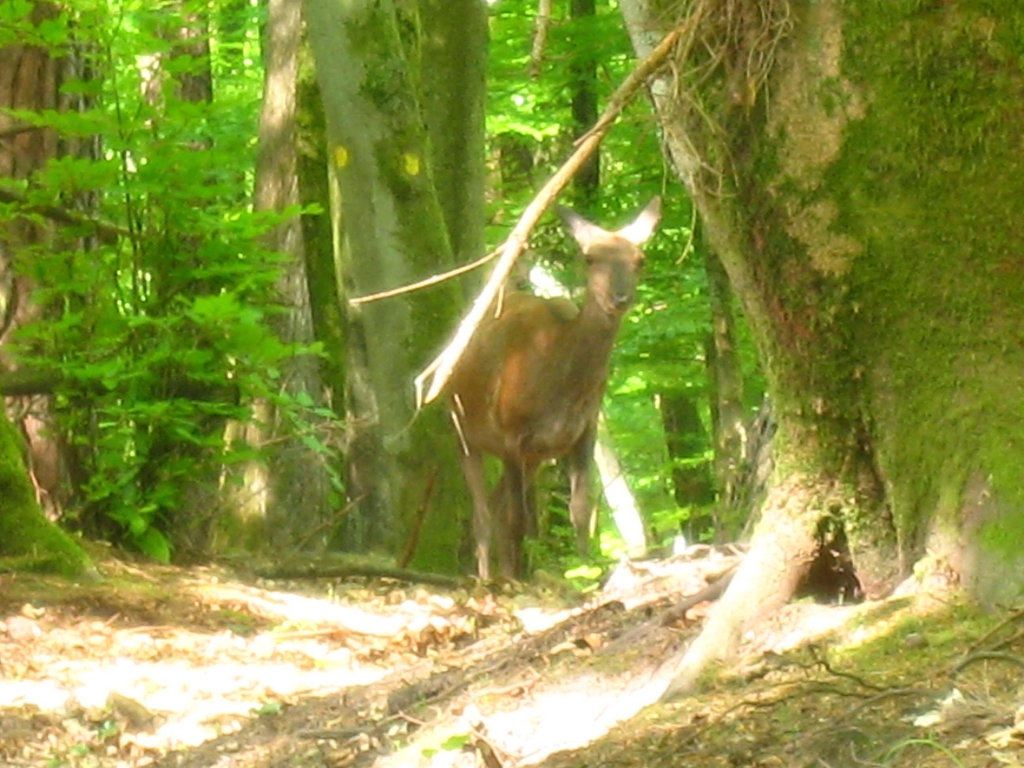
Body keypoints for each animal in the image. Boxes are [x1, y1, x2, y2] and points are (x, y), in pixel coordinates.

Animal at [450, 198, 659, 577]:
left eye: (640, 259)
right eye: (589, 257)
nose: (619, 297)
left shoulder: (583, 430)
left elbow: (580, 509)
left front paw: (586, 570)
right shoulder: (511, 431)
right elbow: (519, 519)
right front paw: (520, 579)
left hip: (531, 456)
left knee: (496, 506)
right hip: (462, 431)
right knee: (483, 513)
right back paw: (488, 577)